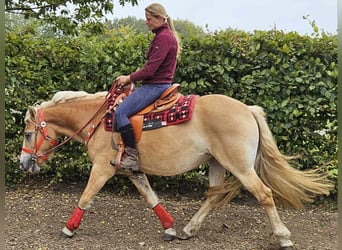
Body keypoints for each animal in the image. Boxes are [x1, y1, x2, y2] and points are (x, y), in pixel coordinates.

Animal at [18, 83, 332, 249]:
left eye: (28, 133)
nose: (23, 163)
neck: (100, 120)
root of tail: (247, 109)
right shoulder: (133, 171)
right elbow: (151, 198)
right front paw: (169, 227)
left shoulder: (102, 169)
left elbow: (85, 196)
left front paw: (69, 228)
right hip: (216, 164)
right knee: (213, 197)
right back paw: (188, 229)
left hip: (241, 167)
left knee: (264, 194)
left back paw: (283, 236)